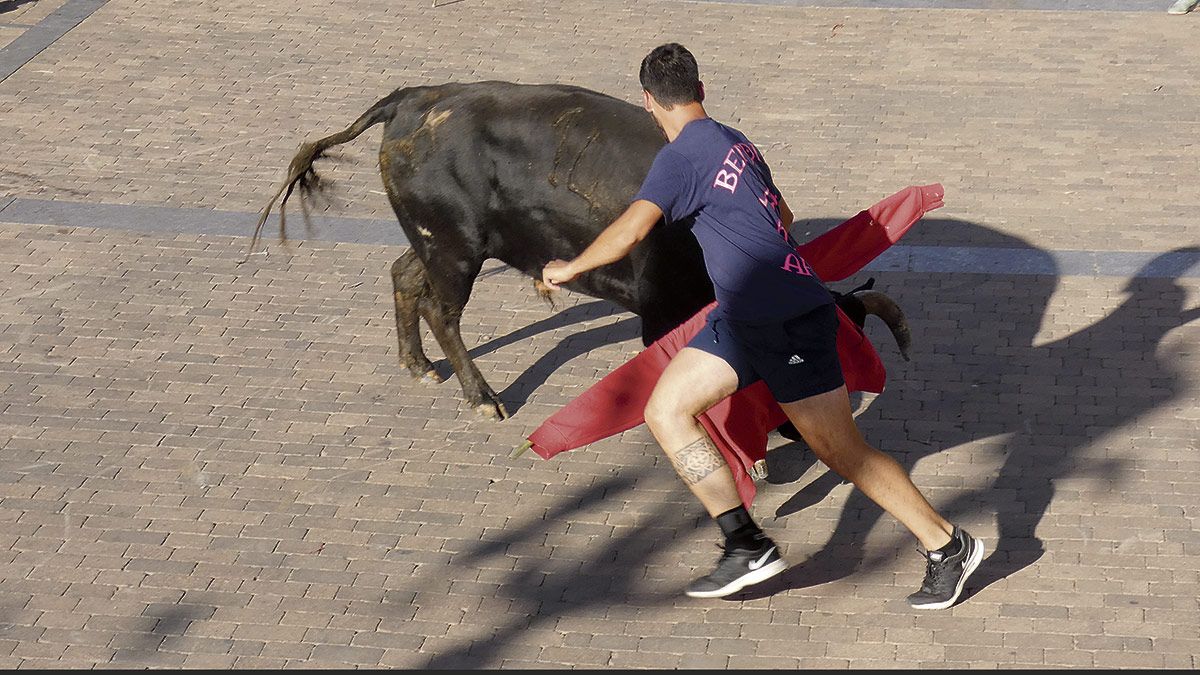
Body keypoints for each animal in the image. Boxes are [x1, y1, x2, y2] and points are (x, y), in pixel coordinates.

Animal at [253, 81, 907, 420]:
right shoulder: (661, 308)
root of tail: (412, 99)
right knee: (442, 309)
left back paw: (418, 368)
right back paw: (484, 398)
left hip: (443, 243)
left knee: (404, 275)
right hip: (456, 251)